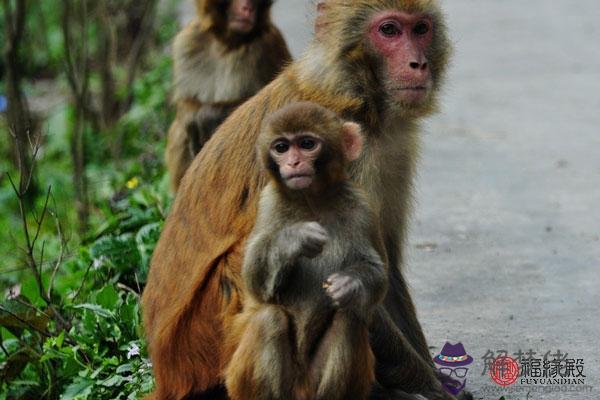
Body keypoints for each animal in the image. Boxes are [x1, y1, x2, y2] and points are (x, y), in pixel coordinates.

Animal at [165, 0, 292, 192]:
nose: (248, 8)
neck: (226, 43)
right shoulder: (188, 42)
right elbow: (185, 104)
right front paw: (197, 115)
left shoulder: (268, 45)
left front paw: (209, 115)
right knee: (180, 130)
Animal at [226, 102, 390, 400]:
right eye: (281, 147)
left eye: (306, 144)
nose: (293, 163)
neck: (313, 201)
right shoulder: (268, 203)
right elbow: (254, 280)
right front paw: (294, 239)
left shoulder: (362, 206)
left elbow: (377, 275)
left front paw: (349, 283)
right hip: (240, 381)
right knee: (269, 318)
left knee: (348, 319)